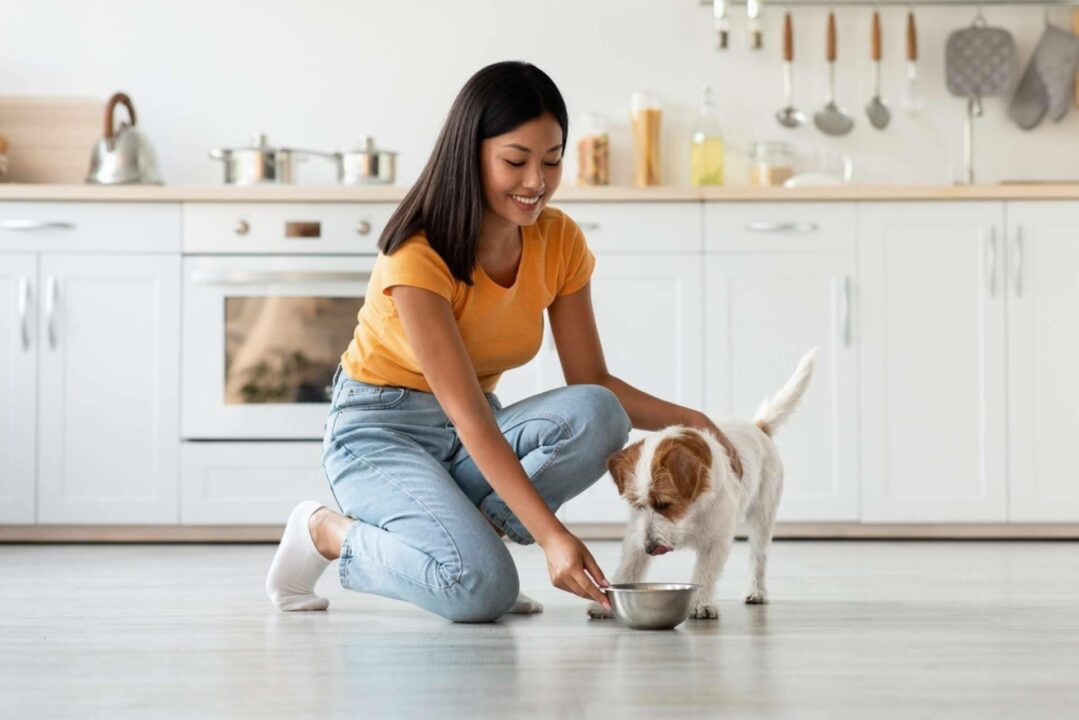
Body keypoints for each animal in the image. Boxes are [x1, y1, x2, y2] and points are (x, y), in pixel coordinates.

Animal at [591, 349, 815, 621]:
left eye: (664, 504)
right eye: (637, 504)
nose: (650, 548)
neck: (692, 512)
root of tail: (758, 427)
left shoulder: (716, 542)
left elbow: (705, 574)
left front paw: (702, 604)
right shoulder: (636, 537)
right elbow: (628, 568)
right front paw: (606, 603)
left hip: (763, 516)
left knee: (758, 557)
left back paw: (756, 591)